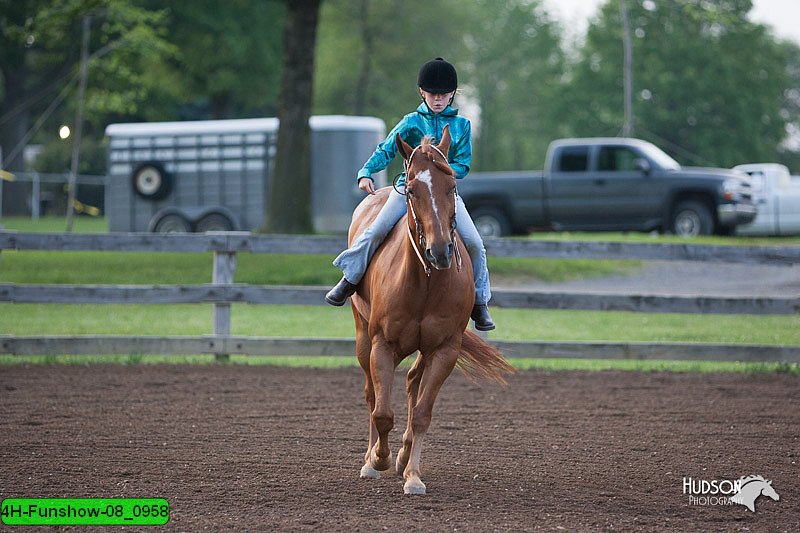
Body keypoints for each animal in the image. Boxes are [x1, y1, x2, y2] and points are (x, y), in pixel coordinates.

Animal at [348, 122, 512, 492]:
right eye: (411, 190)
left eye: (452, 186)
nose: (440, 251)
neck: (424, 283)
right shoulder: (382, 344)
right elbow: (382, 412)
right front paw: (378, 459)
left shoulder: (444, 349)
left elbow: (422, 412)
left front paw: (412, 474)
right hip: (363, 336)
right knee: (371, 394)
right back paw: (370, 459)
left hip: (423, 348)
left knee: (411, 383)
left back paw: (404, 455)